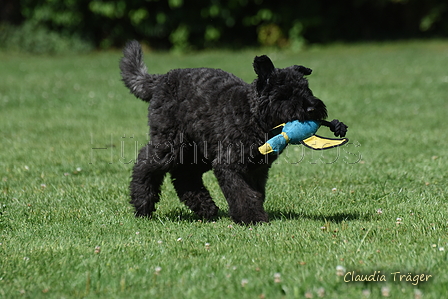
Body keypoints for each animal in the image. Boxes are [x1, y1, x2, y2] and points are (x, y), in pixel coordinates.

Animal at [119, 40, 344, 225]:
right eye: (284, 94)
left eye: (306, 89)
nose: (312, 108)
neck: (253, 116)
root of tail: (161, 79)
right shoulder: (229, 163)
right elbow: (242, 193)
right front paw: (252, 218)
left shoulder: (257, 168)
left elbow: (255, 192)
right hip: (170, 144)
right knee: (145, 164)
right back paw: (142, 205)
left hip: (198, 153)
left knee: (185, 176)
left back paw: (206, 209)